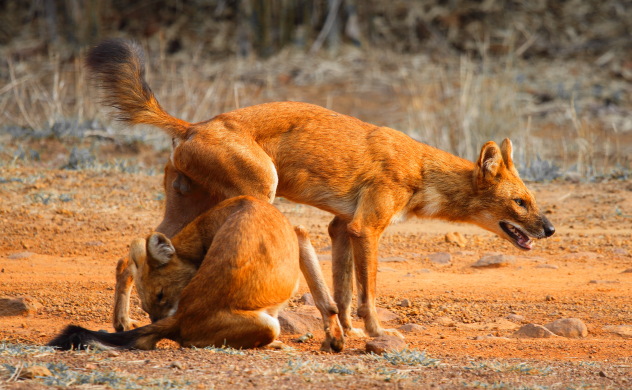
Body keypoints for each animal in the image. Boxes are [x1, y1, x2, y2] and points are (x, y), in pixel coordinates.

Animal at [48, 197, 346, 352]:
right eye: (149, 305)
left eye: (159, 296)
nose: (156, 318)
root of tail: (181, 317)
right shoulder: (300, 234)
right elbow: (325, 299)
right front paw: (334, 339)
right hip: (268, 324)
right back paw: (278, 346)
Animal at [85, 38, 552, 338]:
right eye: (520, 202)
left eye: (533, 201)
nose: (550, 229)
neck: (421, 169)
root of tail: (193, 125)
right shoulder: (366, 228)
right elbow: (367, 293)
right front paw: (376, 333)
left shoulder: (341, 227)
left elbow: (344, 293)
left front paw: (346, 332)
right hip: (260, 191)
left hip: (189, 209)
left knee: (130, 255)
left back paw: (125, 323)